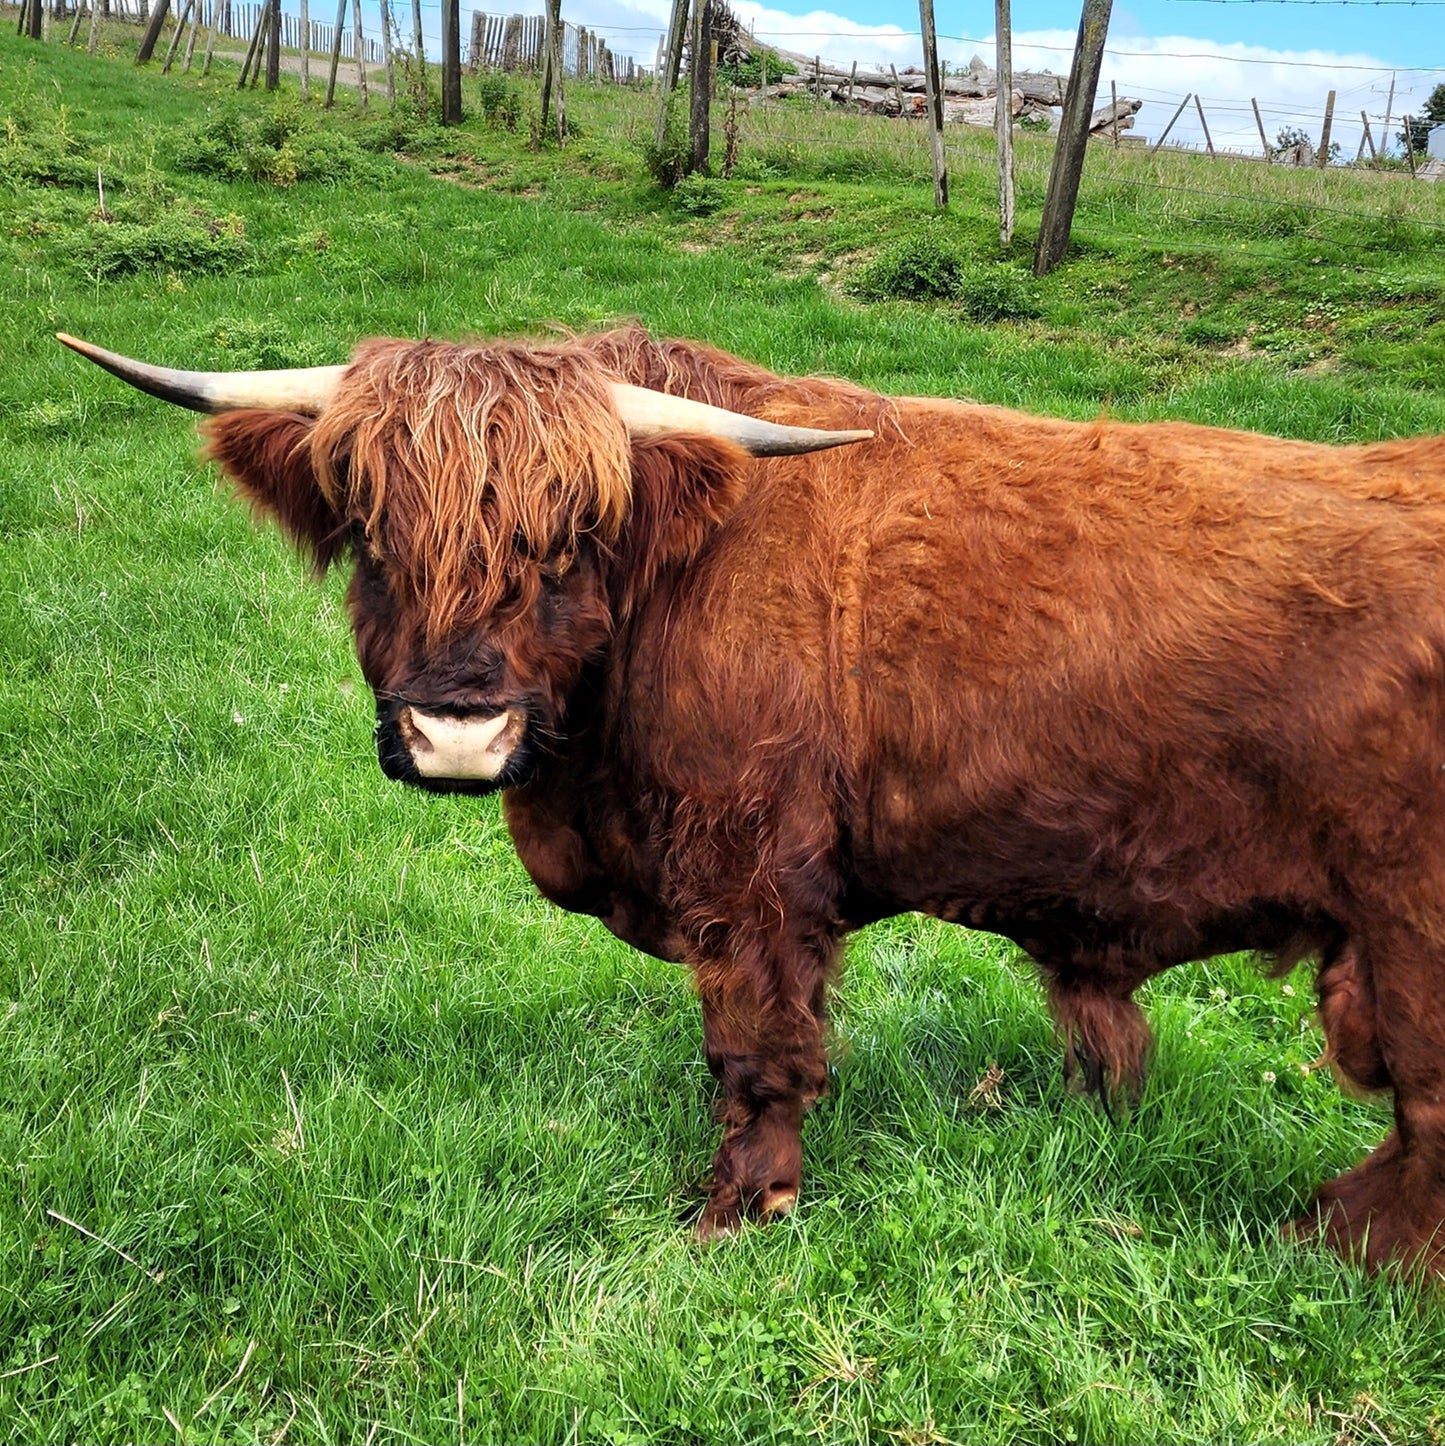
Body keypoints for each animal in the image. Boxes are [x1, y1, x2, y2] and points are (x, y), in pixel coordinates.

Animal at [59, 325, 1445, 1266]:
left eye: (570, 538)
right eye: (373, 532)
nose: (458, 725)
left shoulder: (750, 865)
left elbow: (756, 1044)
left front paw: (739, 1207)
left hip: (1407, 924)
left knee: (1422, 1111)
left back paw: (1339, 1245)